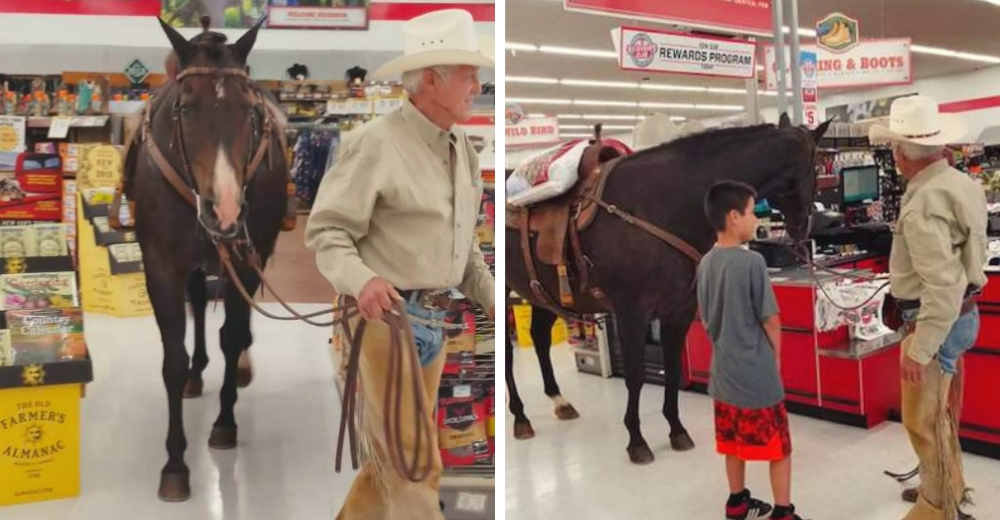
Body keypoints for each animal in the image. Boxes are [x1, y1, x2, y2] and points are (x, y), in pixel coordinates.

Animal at [126, 19, 290, 500]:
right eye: (184, 109)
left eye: (250, 112)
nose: (226, 209)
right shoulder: (160, 267)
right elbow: (173, 359)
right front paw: (175, 464)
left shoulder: (245, 257)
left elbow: (232, 336)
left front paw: (224, 423)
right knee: (198, 302)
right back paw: (197, 374)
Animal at [508, 118, 828, 464]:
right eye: (816, 165)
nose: (804, 228)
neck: (660, 205)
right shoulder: (631, 313)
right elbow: (635, 375)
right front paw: (636, 440)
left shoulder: (680, 311)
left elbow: (673, 370)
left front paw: (677, 430)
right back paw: (520, 416)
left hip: (541, 293)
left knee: (539, 339)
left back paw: (559, 401)